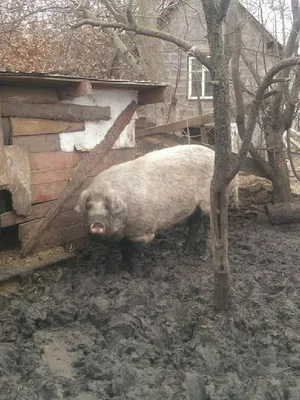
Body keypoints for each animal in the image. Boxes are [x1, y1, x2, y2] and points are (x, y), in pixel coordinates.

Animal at [74, 144, 232, 266]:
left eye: (108, 206)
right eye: (89, 206)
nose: (97, 223)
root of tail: (213, 153)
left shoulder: (144, 228)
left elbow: (129, 243)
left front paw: (133, 267)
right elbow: (122, 246)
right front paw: (123, 265)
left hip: (208, 198)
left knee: (210, 224)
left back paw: (203, 257)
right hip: (195, 206)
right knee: (195, 222)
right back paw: (184, 250)